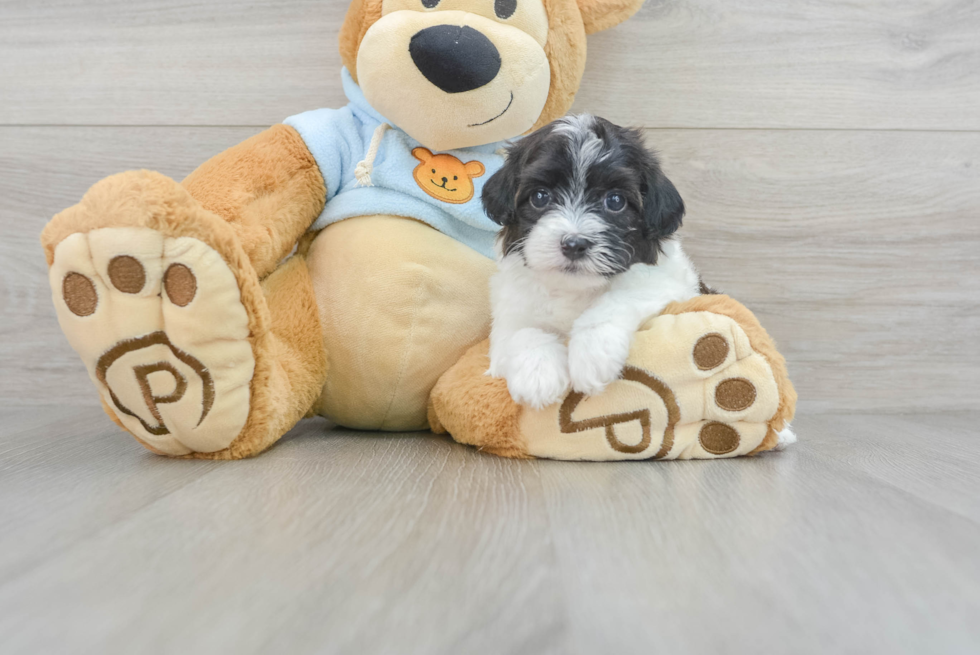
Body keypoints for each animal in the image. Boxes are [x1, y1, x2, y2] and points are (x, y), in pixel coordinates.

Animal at [482, 115, 704, 408]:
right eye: (540, 196)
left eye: (615, 201)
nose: (574, 244)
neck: (573, 288)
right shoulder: (509, 313)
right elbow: (520, 332)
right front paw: (538, 375)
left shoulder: (667, 286)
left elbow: (619, 298)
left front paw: (593, 353)